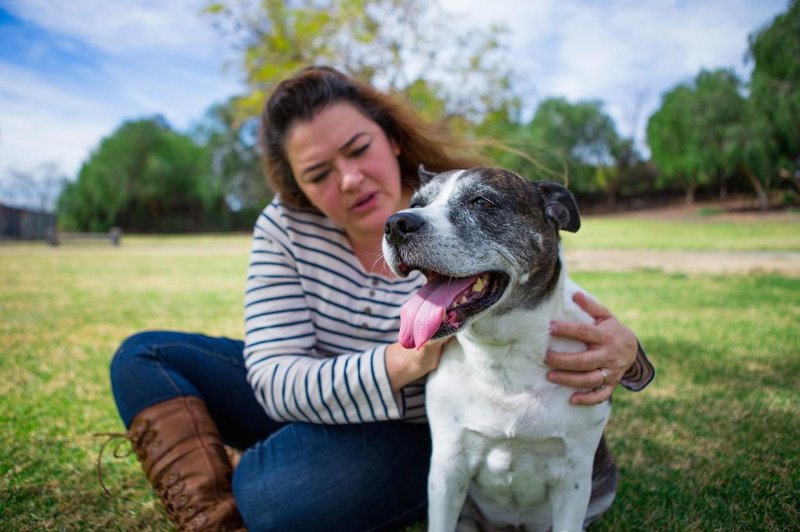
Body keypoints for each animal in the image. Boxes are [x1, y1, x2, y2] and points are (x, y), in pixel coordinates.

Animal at [382, 167, 612, 532]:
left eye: (482, 201)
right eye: (417, 204)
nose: (395, 223)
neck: (505, 356)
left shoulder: (573, 480)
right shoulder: (447, 469)